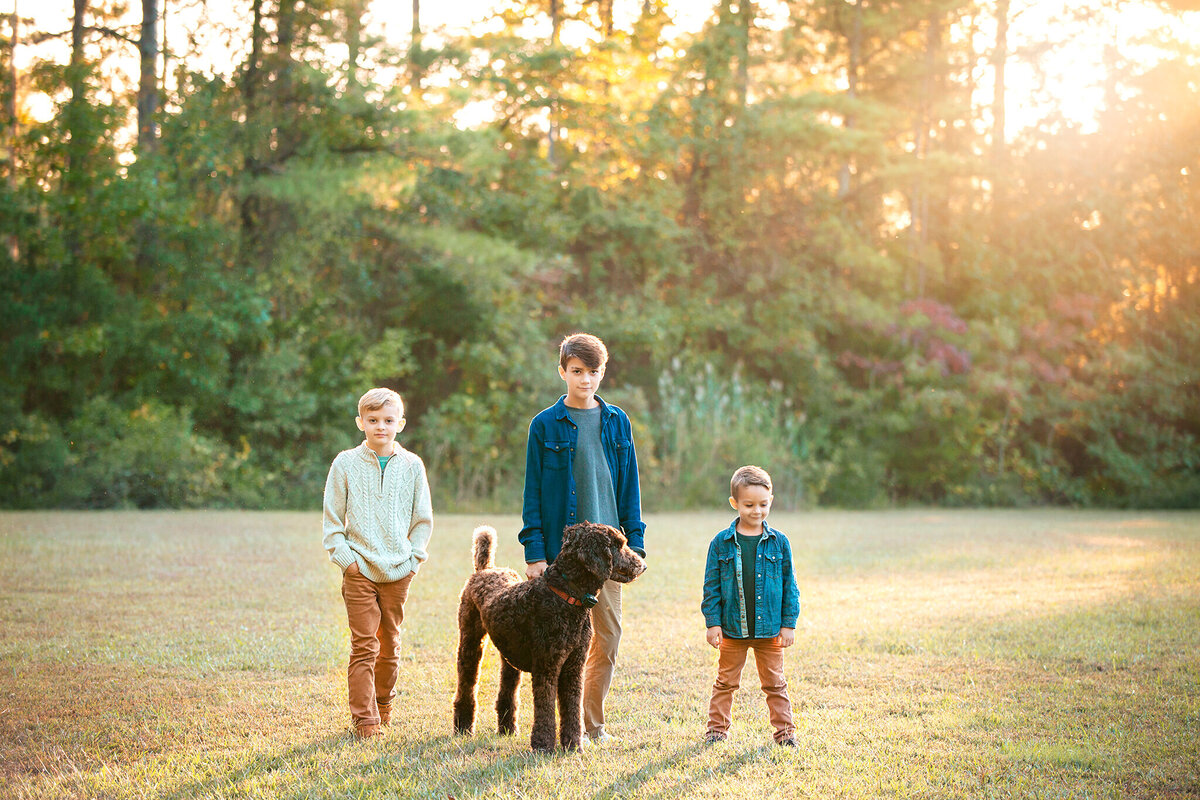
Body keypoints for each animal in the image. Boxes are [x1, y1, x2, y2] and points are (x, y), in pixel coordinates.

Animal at [453, 522, 648, 753]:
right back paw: (463, 728)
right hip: (470, 642)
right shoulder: (547, 667)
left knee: (507, 690)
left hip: (509, 655)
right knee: (467, 685)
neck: (566, 597)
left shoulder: (574, 667)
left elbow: (572, 709)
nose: (643, 565)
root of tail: (486, 569)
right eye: (618, 545)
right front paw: (543, 746)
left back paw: (507, 729)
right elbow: (545, 709)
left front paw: (573, 746)